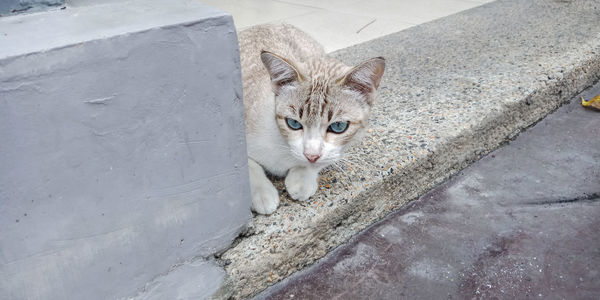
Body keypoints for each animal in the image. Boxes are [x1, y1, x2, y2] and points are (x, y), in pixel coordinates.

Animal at [239, 24, 384, 214]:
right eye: (293, 123)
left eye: (338, 126)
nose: (311, 155)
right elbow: (246, 166)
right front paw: (262, 193)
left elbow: (325, 159)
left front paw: (303, 178)